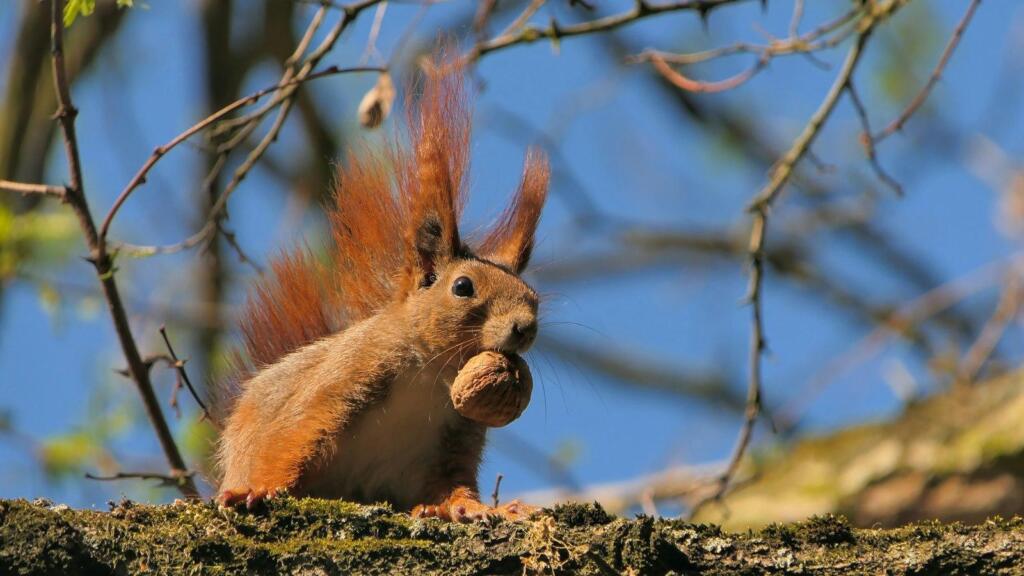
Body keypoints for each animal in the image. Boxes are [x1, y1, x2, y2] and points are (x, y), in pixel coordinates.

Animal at [215, 60, 552, 522]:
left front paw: (478, 508)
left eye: (533, 297)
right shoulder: (343, 380)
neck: (433, 374)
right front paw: (262, 488)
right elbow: (295, 433)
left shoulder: (456, 438)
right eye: (462, 286)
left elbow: (454, 483)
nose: (525, 328)